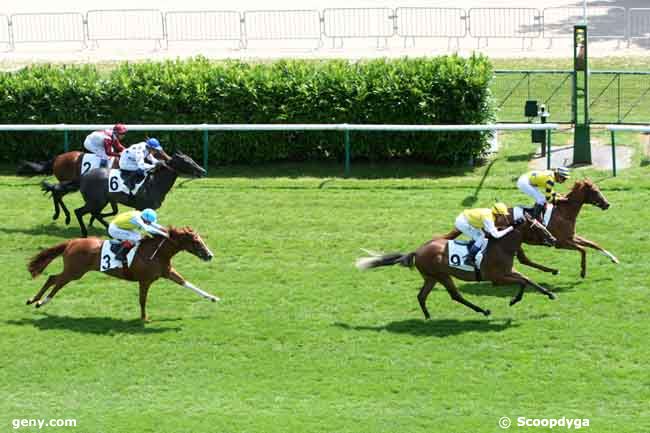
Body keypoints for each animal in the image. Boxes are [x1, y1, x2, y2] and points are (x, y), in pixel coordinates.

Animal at [26, 226, 218, 320]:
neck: (156, 252)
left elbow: (187, 283)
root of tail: (72, 242)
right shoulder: (145, 280)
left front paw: (213, 298)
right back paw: (41, 301)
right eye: (195, 241)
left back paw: (33, 300)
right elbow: (142, 300)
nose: (209, 255)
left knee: (52, 278)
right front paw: (144, 319)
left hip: (73, 271)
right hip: (75, 271)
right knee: (57, 281)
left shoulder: (168, 272)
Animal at [70, 151, 204, 236]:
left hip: (102, 201)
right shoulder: (142, 207)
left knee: (95, 213)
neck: (155, 182)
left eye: (191, 159)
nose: (202, 170)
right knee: (79, 212)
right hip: (96, 201)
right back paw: (85, 232)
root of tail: (83, 176)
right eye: (186, 161)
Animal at [356, 215, 556, 318]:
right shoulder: (498, 278)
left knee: (422, 296)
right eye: (538, 227)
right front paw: (515, 300)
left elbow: (527, 279)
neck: (501, 245)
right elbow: (523, 281)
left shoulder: (508, 272)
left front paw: (548, 294)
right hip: (442, 276)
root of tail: (417, 251)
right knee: (455, 295)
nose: (553, 239)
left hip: (431, 278)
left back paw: (428, 317)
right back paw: (483, 311)